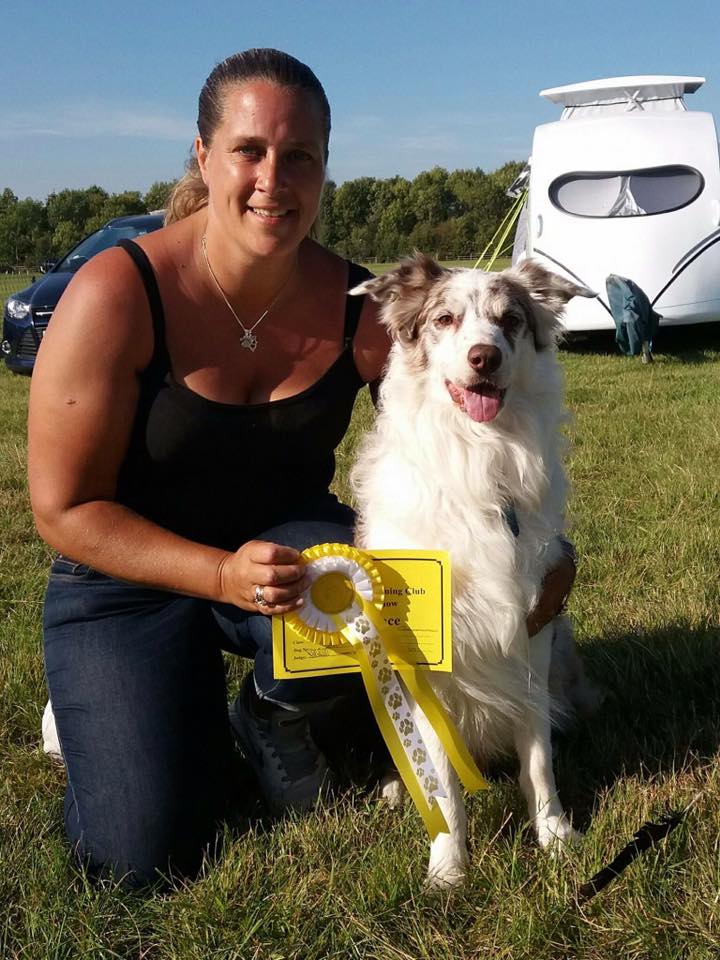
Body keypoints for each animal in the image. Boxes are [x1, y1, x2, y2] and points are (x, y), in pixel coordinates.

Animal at [350, 255, 597, 888]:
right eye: (444, 319)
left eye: (510, 321)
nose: (484, 356)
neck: (479, 456)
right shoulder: (424, 654)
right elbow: (444, 781)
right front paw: (449, 868)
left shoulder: (533, 632)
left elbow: (538, 759)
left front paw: (555, 838)